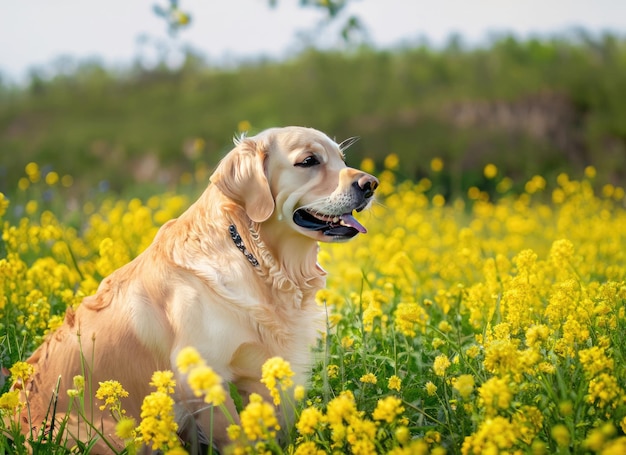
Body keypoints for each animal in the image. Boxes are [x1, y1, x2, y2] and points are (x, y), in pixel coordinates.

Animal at [13, 126, 376, 454]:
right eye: (309, 161)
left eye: (342, 159)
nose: (370, 184)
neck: (255, 257)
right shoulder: (199, 375)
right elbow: (237, 436)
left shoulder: (260, 368)